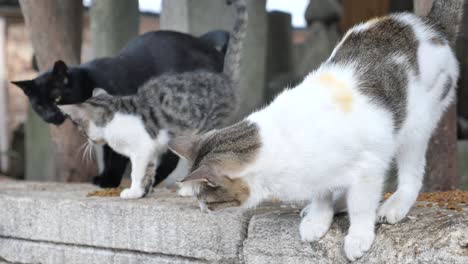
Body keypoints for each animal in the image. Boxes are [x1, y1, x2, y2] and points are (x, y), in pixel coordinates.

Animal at [12, 29, 229, 188]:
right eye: (39, 105)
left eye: (56, 98)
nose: (50, 115)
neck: (88, 81)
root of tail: (207, 46)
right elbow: (107, 152)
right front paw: (105, 177)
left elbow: (116, 156)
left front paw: (109, 181)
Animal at [61, 0, 249, 199]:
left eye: (80, 128)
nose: (88, 142)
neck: (114, 119)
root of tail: (223, 78)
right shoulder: (150, 150)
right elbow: (148, 170)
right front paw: (143, 191)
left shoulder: (141, 148)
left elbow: (137, 171)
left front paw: (133, 191)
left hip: (204, 127)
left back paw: (190, 189)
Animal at [167, 0, 460, 260]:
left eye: (208, 201)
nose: (202, 210)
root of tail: (427, 24)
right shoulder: (318, 172)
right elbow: (322, 193)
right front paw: (319, 218)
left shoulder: (368, 167)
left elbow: (361, 205)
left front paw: (358, 236)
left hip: (416, 127)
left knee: (412, 173)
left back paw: (395, 204)